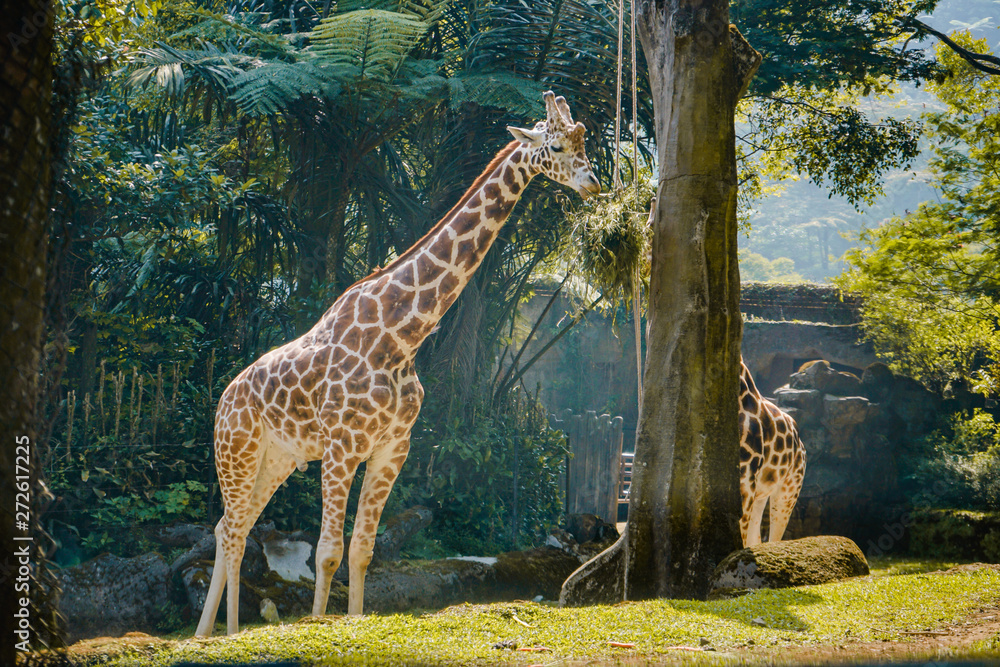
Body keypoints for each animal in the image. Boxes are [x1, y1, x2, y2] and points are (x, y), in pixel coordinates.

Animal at [194, 91, 601, 637]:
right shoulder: (342, 448)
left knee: (232, 527)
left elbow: (362, 552)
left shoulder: (392, 448)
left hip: (274, 459)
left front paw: (351, 620)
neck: (400, 337)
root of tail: (223, 399)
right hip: (236, 450)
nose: (593, 183)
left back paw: (218, 633)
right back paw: (219, 634)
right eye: (556, 145)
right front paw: (320, 627)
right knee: (233, 529)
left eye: (584, 141)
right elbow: (327, 552)